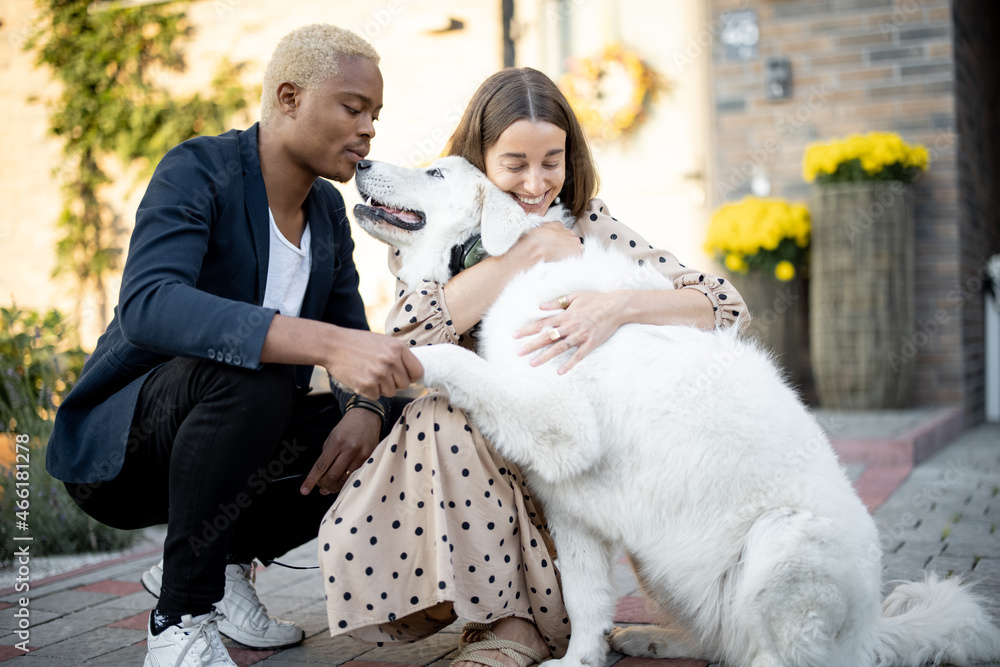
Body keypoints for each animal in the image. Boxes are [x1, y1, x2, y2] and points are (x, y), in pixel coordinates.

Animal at [350, 158, 1000, 667]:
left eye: (436, 172)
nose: (360, 163)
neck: (496, 262)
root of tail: (870, 634)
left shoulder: (562, 422)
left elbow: (454, 363)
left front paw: (397, 358)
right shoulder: (570, 504)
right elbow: (585, 597)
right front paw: (581, 659)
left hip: (780, 545)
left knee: (777, 655)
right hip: (666, 559)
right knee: (721, 640)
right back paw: (648, 639)